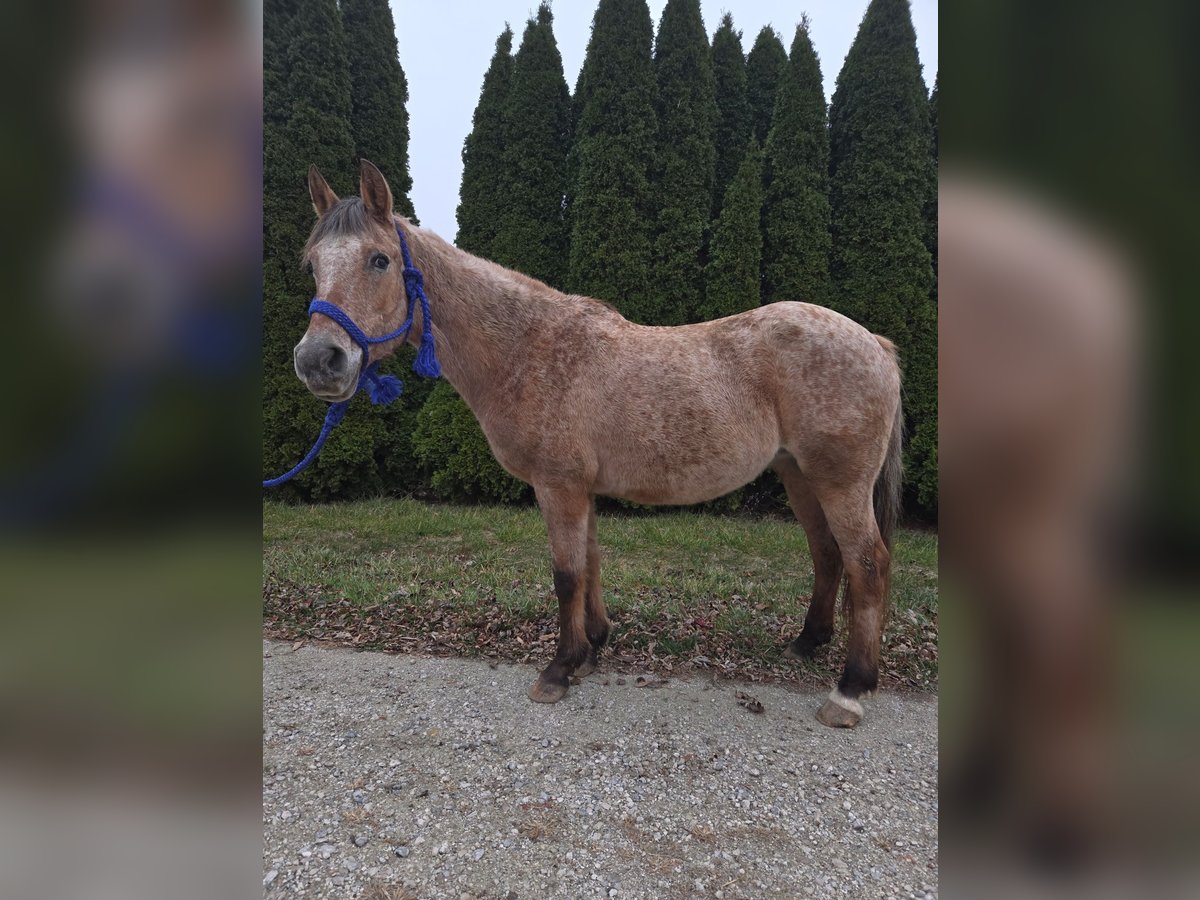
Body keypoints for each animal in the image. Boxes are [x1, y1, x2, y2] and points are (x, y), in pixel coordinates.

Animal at [291, 160, 904, 728]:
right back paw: (806, 644)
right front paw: (591, 648)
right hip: (798, 472)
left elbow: (566, 574)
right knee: (828, 553)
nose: (319, 361)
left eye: (379, 260)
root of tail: (872, 342)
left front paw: (558, 669)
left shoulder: (558, 485)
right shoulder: (579, 488)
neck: (529, 350)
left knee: (867, 563)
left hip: (839, 481)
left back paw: (849, 691)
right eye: (313, 264)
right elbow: (588, 563)